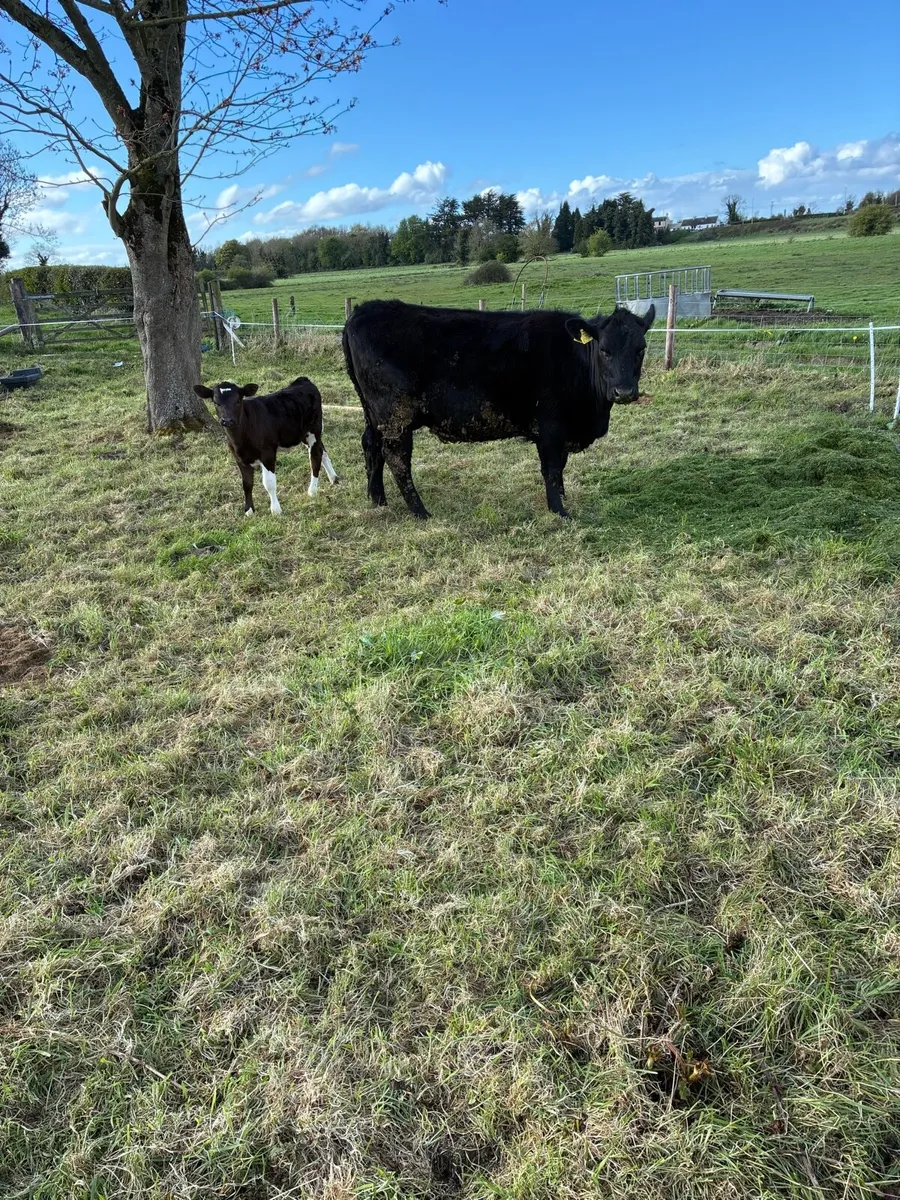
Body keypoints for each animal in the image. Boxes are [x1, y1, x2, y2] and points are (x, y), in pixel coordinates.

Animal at [193, 377, 338, 516]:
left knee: (315, 457)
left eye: (238, 401)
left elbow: (269, 483)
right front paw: (249, 511)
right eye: (216, 402)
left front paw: (276, 510)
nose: (227, 421)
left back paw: (312, 491)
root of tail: (303, 380)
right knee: (322, 451)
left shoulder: (267, 454)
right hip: (303, 434)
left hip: (313, 430)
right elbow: (246, 484)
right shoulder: (239, 459)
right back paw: (334, 478)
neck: (241, 440)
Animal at [342, 299, 655, 519]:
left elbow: (561, 467)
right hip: (396, 415)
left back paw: (378, 501)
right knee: (397, 458)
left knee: (371, 446)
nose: (625, 392)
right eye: (604, 350)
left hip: (374, 414)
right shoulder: (550, 428)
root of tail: (363, 310)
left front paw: (563, 499)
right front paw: (559, 511)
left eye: (641, 349)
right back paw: (420, 511)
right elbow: (552, 469)